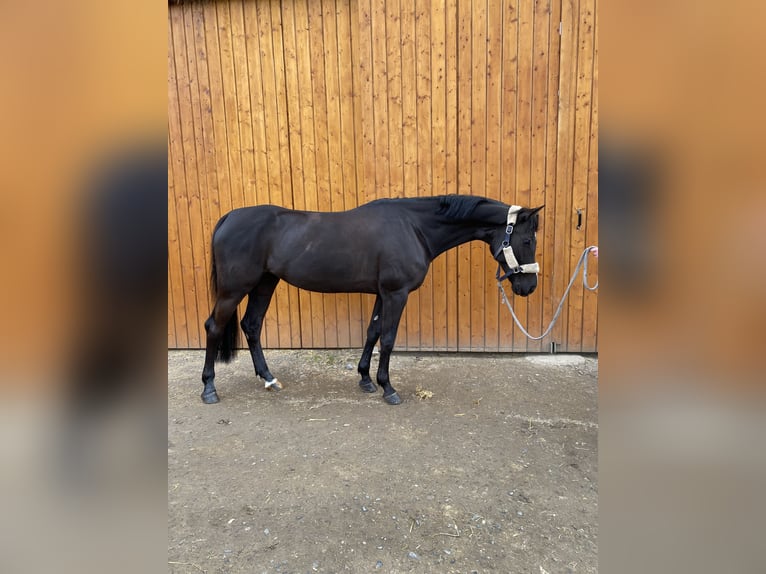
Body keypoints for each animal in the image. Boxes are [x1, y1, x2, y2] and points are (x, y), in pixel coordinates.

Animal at [201, 196, 544, 408]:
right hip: (234, 289)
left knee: (252, 325)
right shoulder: (396, 293)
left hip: (264, 283)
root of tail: (229, 217)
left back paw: (269, 379)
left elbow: (372, 333)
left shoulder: (382, 294)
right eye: (527, 240)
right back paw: (209, 388)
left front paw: (365, 379)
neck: (414, 228)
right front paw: (388, 388)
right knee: (214, 326)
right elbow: (389, 339)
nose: (529, 287)